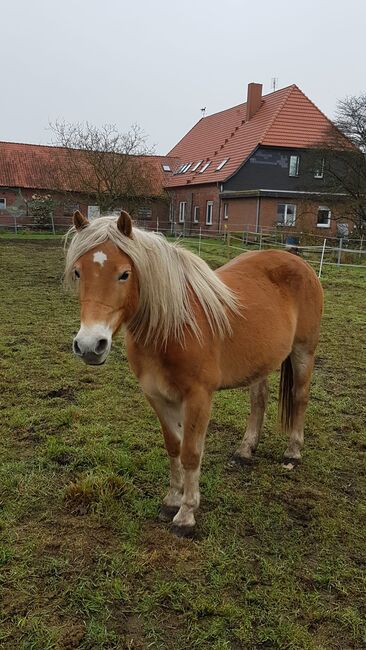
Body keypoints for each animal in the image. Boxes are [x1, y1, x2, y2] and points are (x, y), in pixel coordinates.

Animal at [65, 210, 324, 536]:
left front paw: (186, 514)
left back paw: (292, 452)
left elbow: (190, 452)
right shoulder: (157, 396)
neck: (172, 327)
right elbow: (173, 447)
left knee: (300, 397)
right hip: (260, 363)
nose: (90, 345)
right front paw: (172, 501)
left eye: (124, 274)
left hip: (304, 352)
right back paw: (245, 450)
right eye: (78, 272)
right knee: (259, 401)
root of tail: (298, 262)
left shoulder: (198, 397)